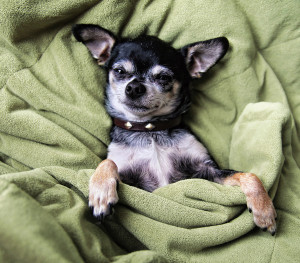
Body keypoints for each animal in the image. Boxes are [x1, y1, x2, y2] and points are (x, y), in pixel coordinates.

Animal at [71, 24, 276, 235]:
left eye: (164, 77)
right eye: (119, 71)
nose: (134, 87)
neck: (150, 130)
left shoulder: (206, 172)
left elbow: (250, 175)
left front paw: (264, 210)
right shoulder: (133, 181)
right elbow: (108, 162)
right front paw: (101, 194)